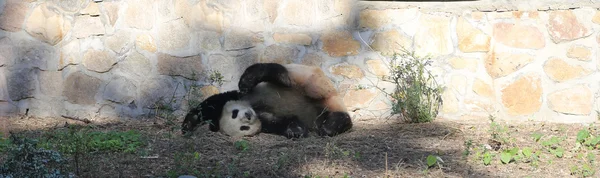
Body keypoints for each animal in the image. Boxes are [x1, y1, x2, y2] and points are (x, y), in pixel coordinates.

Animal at [182, 62, 352, 139]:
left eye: (235, 113)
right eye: (243, 127)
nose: (248, 116)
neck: (254, 107)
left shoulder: (232, 98)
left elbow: (207, 106)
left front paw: (188, 125)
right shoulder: (265, 122)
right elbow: (282, 122)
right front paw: (296, 130)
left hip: (308, 79)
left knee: (287, 77)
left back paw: (252, 77)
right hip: (325, 111)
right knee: (336, 118)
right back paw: (332, 124)